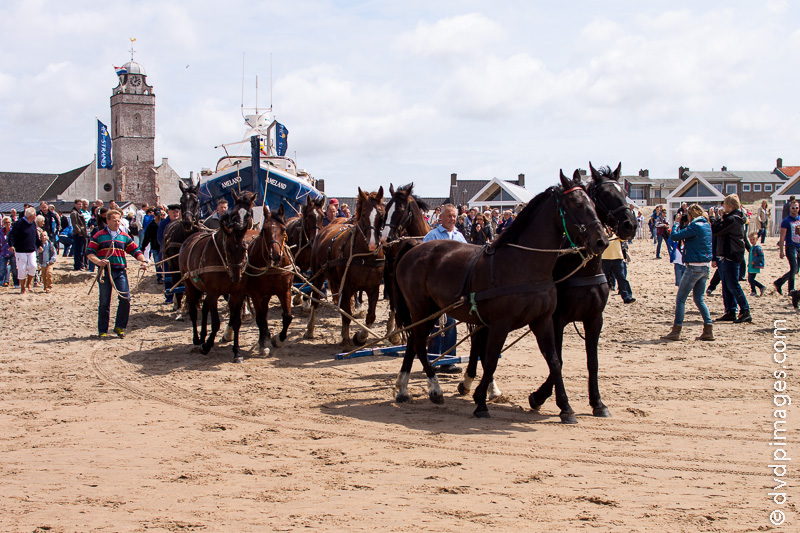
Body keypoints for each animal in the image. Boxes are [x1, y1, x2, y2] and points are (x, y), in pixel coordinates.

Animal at [180, 188, 256, 362]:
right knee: (194, 311)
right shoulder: (213, 293)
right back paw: (197, 339)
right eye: (234, 213)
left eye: (244, 248)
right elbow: (215, 323)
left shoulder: (237, 293)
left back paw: (202, 336)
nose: (236, 276)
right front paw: (207, 345)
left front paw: (237, 352)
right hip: (189, 285)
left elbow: (236, 321)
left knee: (204, 308)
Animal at [245, 204, 296, 358]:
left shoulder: (284, 290)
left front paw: (278, 339)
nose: (275, 256)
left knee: (265, 311)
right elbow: (260, 319)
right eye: (264, 230)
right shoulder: (255, 293)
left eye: (283, 229)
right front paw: (262, 345)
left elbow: (287, 316)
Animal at [304, 187, 384, 350]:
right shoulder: (347, 287)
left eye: (381, 214)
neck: (365, 256)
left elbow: (370, 316)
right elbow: (346, 313)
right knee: (315, 301)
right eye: (364, 214)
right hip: (318, 275)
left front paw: (360, 337)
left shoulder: (373, 288)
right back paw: (310, 329)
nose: (373, 243)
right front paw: (347, 340)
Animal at [392, 172, 608, 422]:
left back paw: (404, 389)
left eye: (594, 203)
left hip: (432, 310)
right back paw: (434, 389)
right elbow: (492, 360)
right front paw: (480, 402)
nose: (601, 240)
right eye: (577, 204)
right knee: (418, 343)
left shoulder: (543, 321)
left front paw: (565, 407)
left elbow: (554, 361)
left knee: (414, 343)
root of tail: (412, 248)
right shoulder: (500, 324)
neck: (523, 263)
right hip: (422, 309)